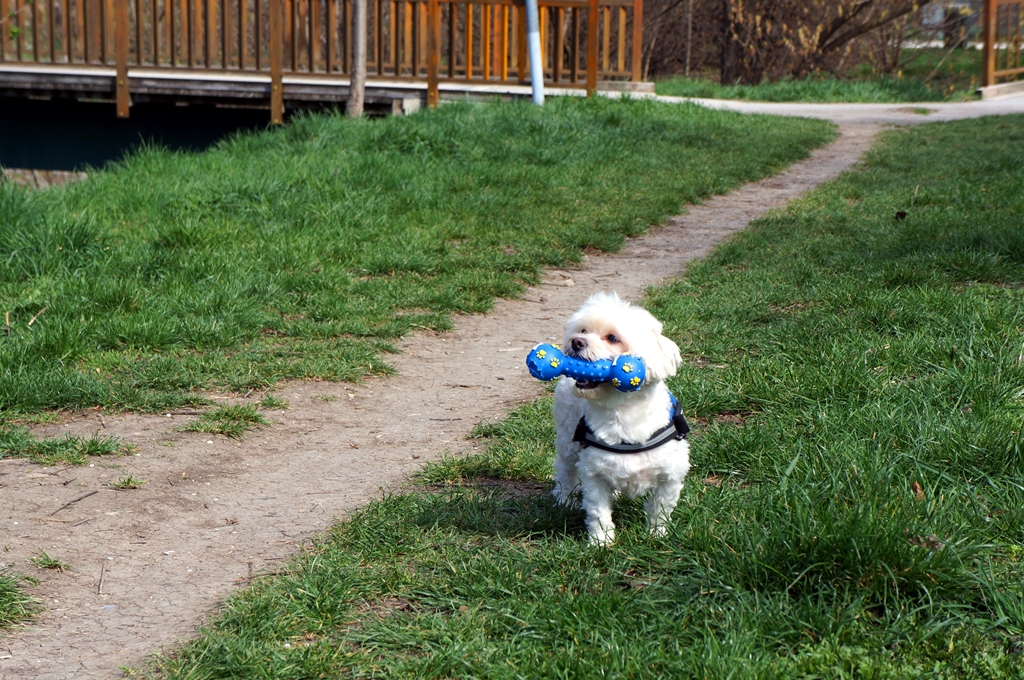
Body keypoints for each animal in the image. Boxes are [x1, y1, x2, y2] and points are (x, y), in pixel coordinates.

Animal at [552, 292, 688, 548]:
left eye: (613, 338)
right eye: (583, 330)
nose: (576, 342)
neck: (621, 414)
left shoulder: (671, 474)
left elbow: (661, 507)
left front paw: (657, 535)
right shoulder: (592, 474)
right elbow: (598, 511)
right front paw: (601, 542)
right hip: (567, 440)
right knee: (565, 470)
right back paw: (564, 500)